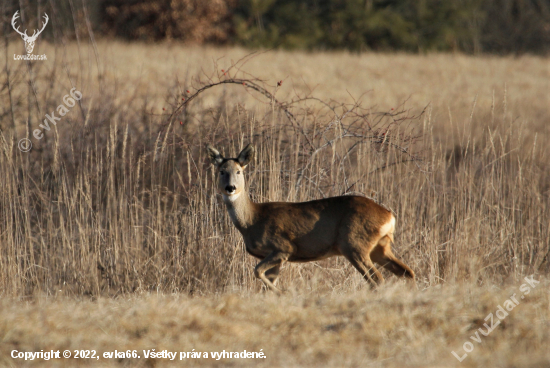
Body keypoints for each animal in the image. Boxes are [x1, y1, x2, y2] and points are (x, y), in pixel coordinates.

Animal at [209, 144, 416, 294]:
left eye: (239, 171)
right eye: (221, 171)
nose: (230, 188)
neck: (252, 220)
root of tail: (389, 216)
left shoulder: (283, 247)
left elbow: (257, 271)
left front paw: (283, 293)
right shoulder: (277, 257)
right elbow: (264, 282)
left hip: (354, 244)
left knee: (377, 279)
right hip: (379, 247)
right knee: (407, 272)